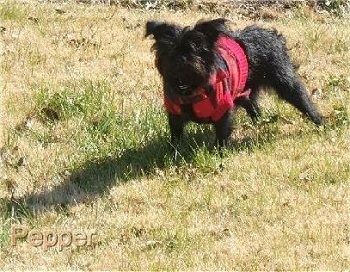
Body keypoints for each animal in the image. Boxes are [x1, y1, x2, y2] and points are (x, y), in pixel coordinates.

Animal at [144, 18, 322, 151]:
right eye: (170, 50)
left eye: (196, 48)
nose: (181, 58)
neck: (191, 88)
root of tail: (273, 36)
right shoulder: (174, 111)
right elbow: (176, 134)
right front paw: (173, 151)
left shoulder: (223, 107)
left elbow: (222, 132)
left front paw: (219, 153)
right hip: (245, 91)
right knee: (253, 105)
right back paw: (259, 122)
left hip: (285, 82)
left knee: (301, 98)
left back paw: (321, 123)